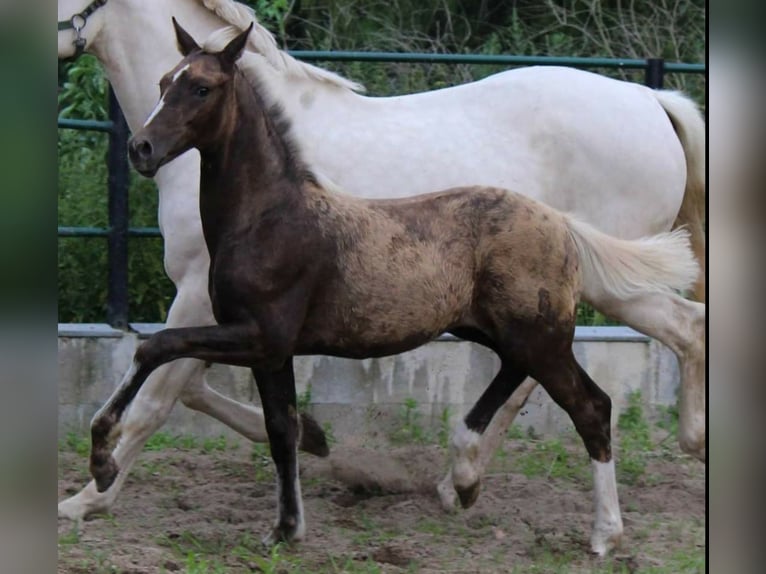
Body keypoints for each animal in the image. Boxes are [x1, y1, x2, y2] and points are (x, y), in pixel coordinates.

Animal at [58, 0, 708, 524]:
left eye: (197, 89)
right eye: (164, 81)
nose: (141, 149)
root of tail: (652, 97)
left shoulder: (202, 294)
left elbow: (159, 394)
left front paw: (89, 497)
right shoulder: (229, 312)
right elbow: (192, 386)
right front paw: (318, 440)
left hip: (597, 282)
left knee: (658, 339)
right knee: (642, 342)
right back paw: (463, 483)